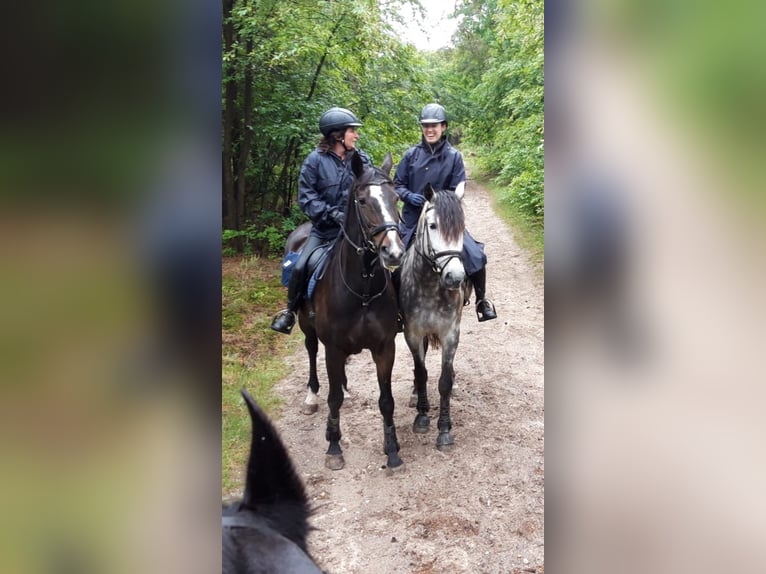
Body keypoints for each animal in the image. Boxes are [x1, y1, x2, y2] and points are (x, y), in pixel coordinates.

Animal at [296, 150, 405, 471]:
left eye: (395, 198)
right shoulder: (332, 348)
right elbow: (333, 400)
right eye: (363, 200)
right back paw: (311, 396)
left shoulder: (385, 347)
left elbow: (386, 401)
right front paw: (333, 446)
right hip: (305, 326)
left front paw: (392, 449)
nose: (393, 252)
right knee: (311, 351)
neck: (363, 289)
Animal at [398, 181, 468, 450]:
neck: (428, 284)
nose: (455, 278)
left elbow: (444, 381)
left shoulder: (451, 333)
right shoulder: (413, 333)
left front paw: (445, 429)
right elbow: (421, 372)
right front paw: (422, 415)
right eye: (433, 225)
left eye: (461, 227)